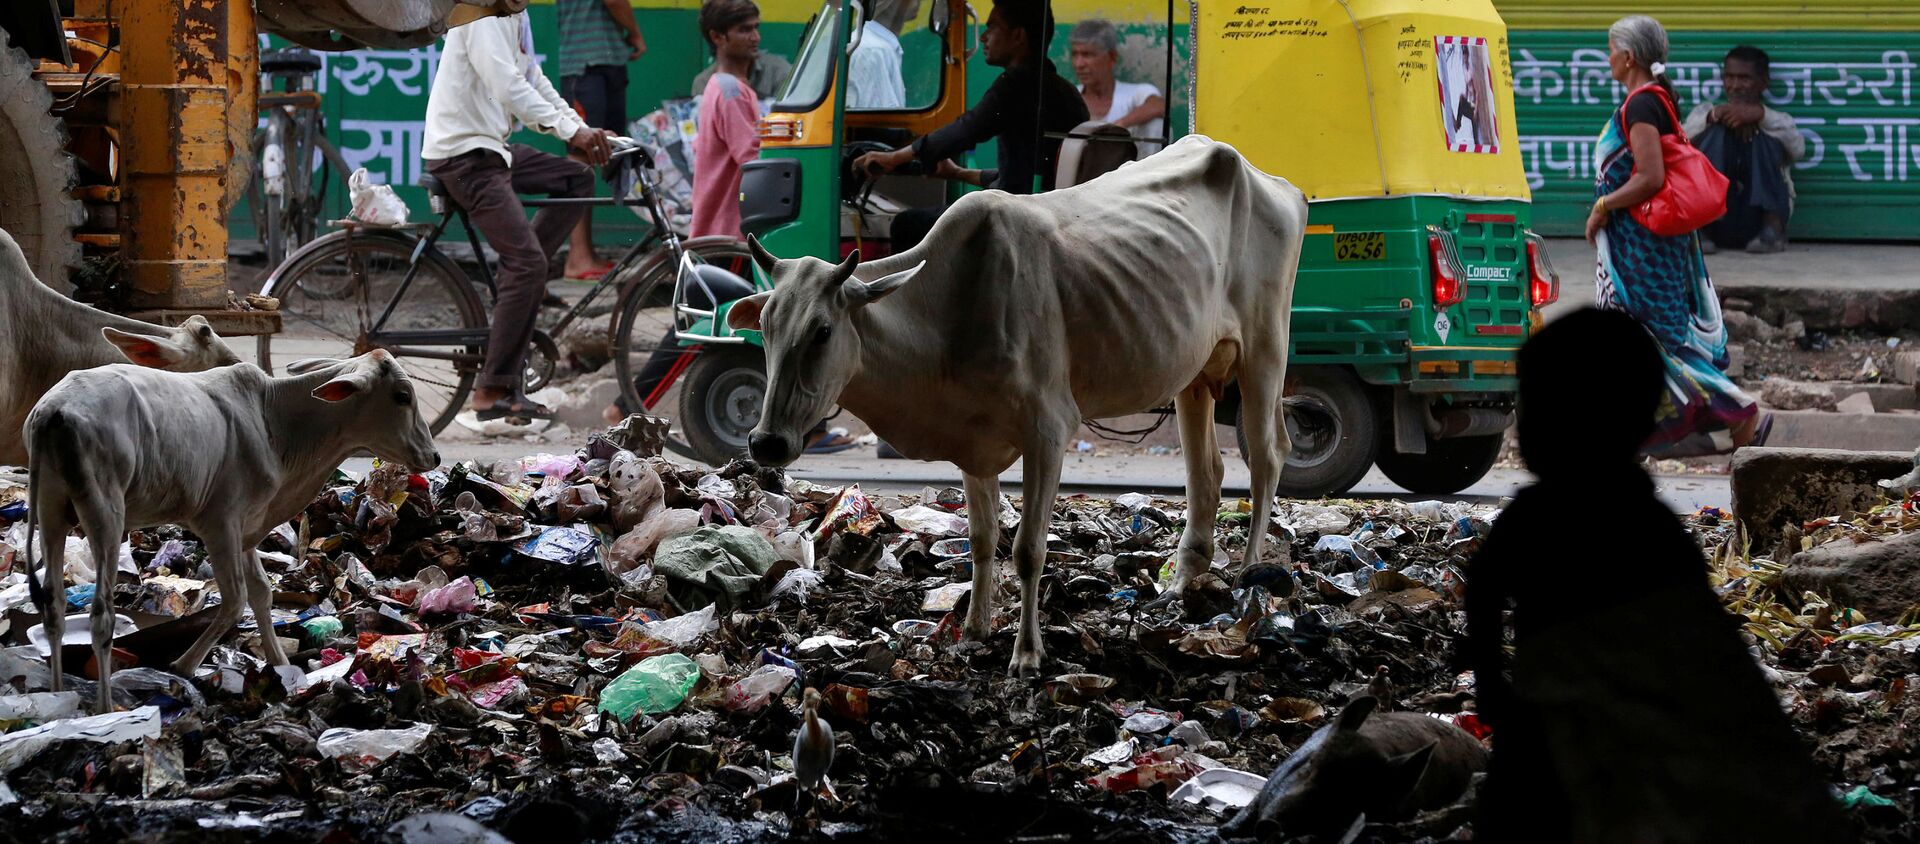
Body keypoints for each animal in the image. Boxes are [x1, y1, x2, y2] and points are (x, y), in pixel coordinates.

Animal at [27, 349, 435, 713]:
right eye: (402, 395)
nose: (433, 456)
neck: (275, 423)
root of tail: (53, 411)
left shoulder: (246, 527)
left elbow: (261, 594)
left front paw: (281, 668)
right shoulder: (220, 522)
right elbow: (236, 599)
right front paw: (182, 666)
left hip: (50, 510)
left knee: (54, 607)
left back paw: (57, 696)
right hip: (105, 513)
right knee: (102, 615)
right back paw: (104, 708)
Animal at [725, 137, 1313, 671]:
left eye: (822, 330)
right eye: (765, 326)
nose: (766, 441)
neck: (951, 309)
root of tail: (1271, 180)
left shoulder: (1048, 430)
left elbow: (1028, 549)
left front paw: (1027, 654)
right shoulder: (974, 444)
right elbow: (982, 540)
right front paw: (973, 632)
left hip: (1266, 348)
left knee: (1268, 457)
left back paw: (1250, 582)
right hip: (1194, 369)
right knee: (1206, 473)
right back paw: (1184, 579)